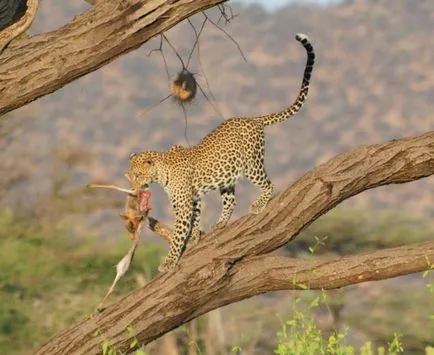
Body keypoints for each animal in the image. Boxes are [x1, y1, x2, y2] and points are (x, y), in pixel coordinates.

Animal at [126, 33, 316, 272]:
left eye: (138, 175)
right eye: (130, 176)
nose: (133, 190)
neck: (161, 173)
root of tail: (252, 119)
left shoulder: (183, 204)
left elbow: (179, 233)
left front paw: (169, 262)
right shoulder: (194, 198)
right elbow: (195, 219)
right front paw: (195, 236)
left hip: (251, 164)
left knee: (268, 184)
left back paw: (258, 205)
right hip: (227, 176)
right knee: (231, 201)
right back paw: (221, 223)